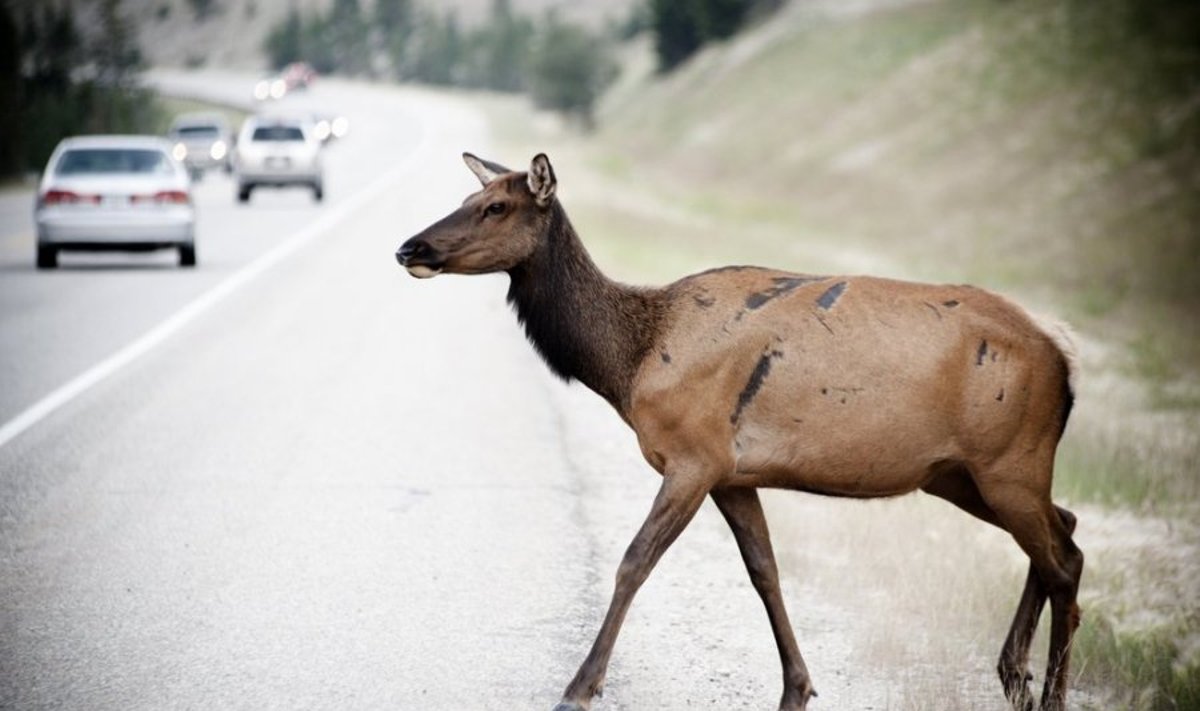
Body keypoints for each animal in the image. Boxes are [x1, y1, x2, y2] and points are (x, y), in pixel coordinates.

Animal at [396, 153, 1089, 711]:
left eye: (496, 206)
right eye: (468, 200)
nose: (410, 248)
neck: (629, 364)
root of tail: (1064, 360)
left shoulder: (693, 455)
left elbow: (634, 561)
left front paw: (578, 688)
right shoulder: (734, 473)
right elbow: (764, 572)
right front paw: (797, 688)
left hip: (1010, 459)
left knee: (1063, 559)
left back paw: (1046, 692)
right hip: (962, 474)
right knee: (1066, 529)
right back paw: (1014, 676)